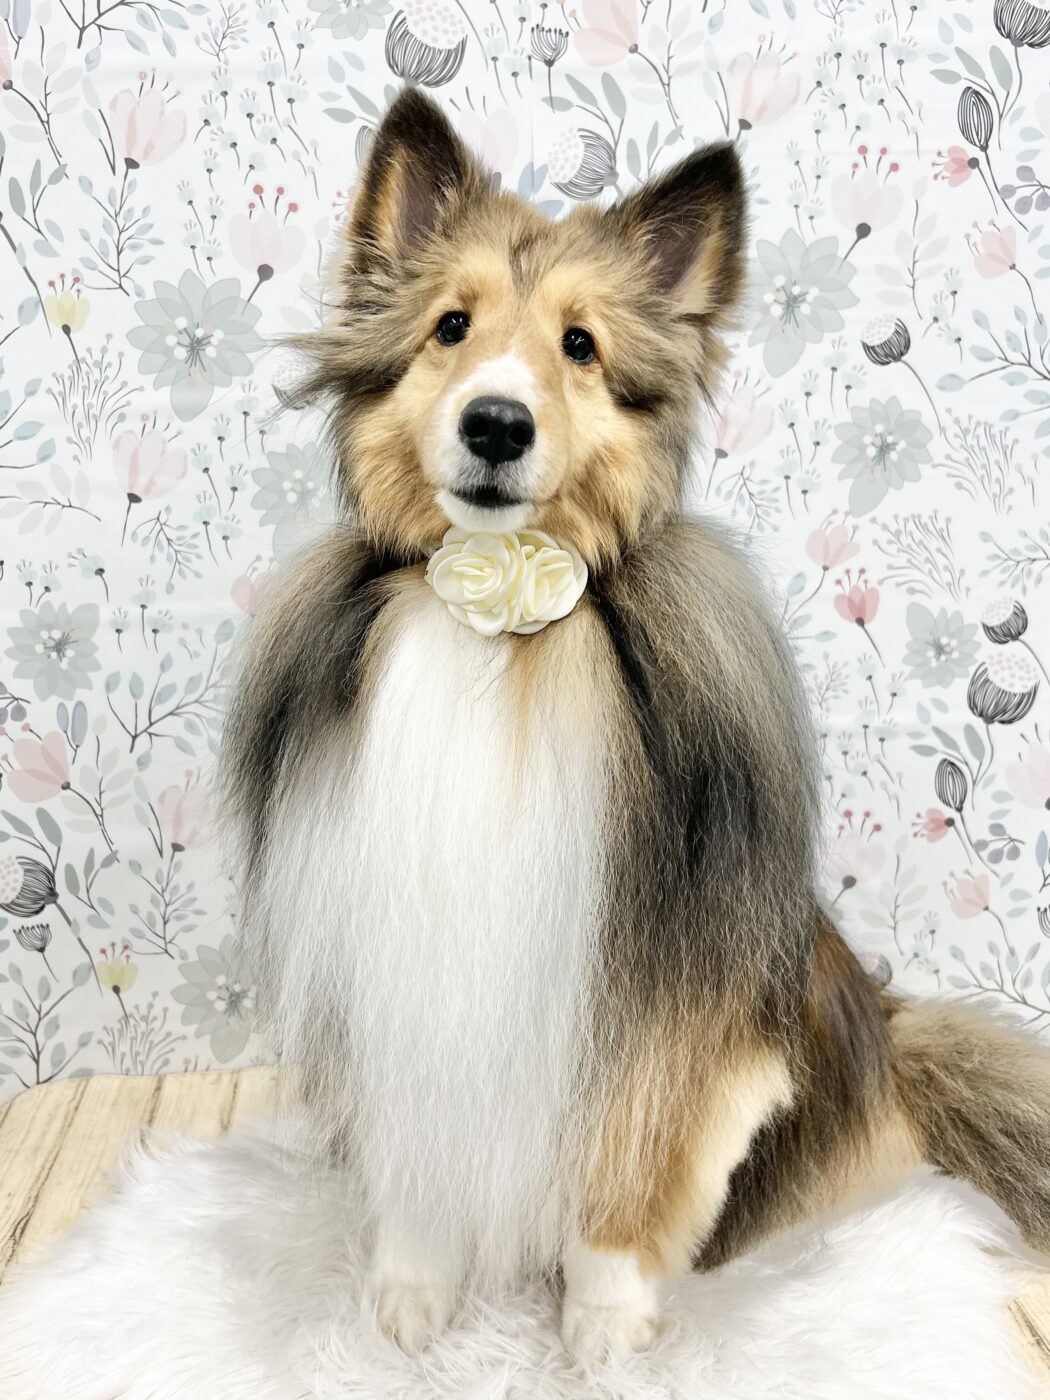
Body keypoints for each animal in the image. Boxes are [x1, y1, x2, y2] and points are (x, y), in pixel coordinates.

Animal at [222, 88, 1050, 1364]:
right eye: (450, 326)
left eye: (581, 345)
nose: (497, 425)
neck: (504, 633)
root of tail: (893, 1028)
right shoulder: (395, 972)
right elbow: (419, 1164)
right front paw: (410, 1296)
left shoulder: (660, 1007)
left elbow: (623, 1177)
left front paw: (604, 1325)